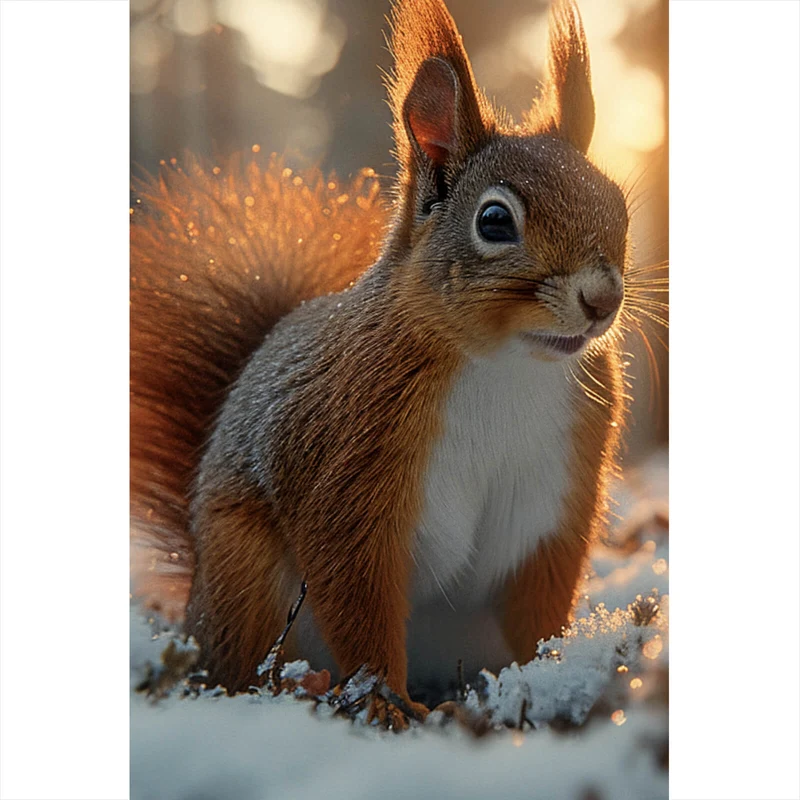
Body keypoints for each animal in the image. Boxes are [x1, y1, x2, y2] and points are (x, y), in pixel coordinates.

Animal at [131, 0, 631, 716]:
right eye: (495, 221)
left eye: (618, 204)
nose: (602, 299)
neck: (507, 364)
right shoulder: (348, 463)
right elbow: (356, 589)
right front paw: (385, 704)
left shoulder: (554, 496)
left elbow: (542, 596)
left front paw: (549, 673)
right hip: (246, 581)